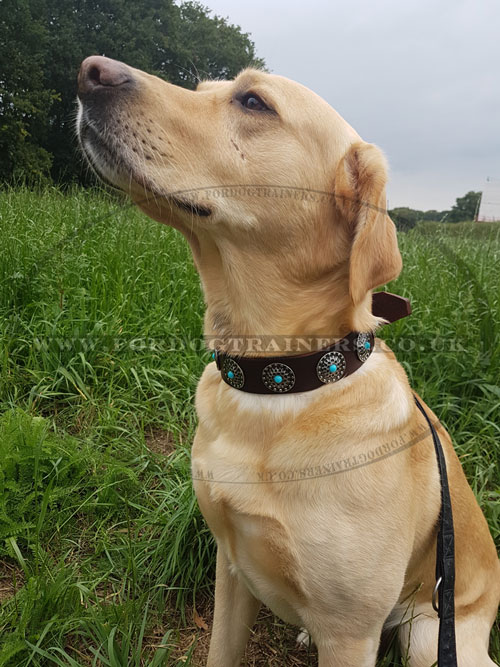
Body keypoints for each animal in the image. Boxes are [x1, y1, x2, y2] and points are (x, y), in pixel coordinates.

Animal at [76, 57, 498, 667]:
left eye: (254, 102)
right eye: (203, 89)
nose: (90, 72)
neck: (279, 380)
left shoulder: (351, 633)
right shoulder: (231, 570)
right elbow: (221, 652)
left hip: (427, 635)